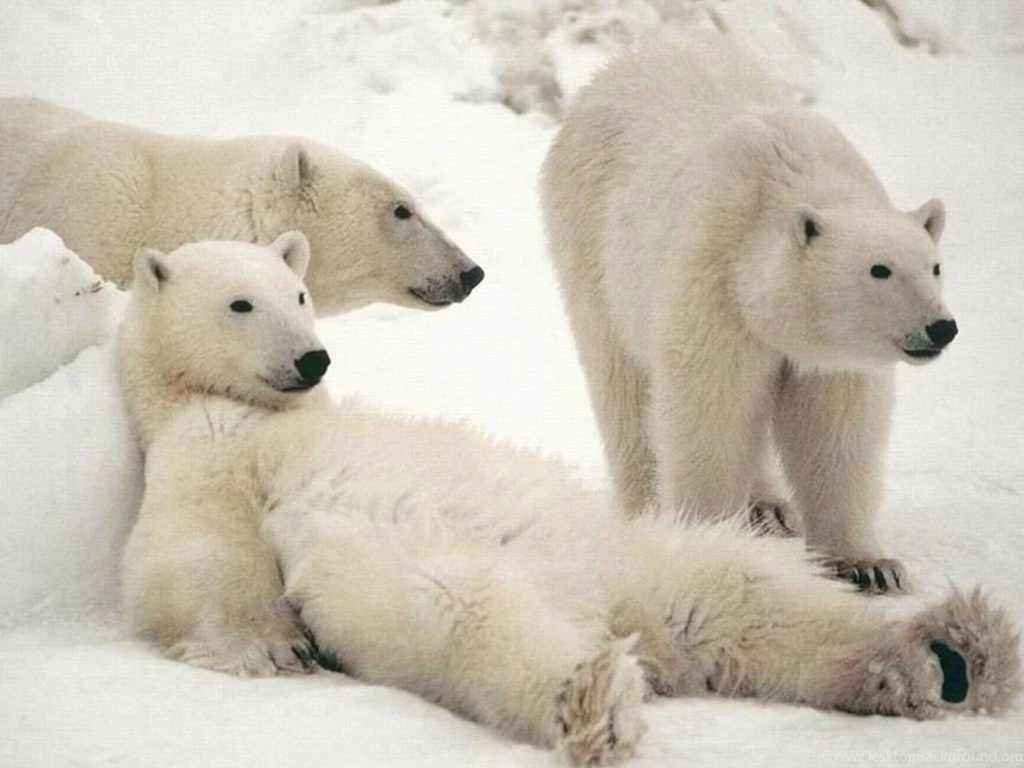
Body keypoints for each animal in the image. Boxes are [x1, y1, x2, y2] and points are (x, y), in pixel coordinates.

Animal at [118, 233, 1018, 766]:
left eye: (298, 294)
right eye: (240, 302)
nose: (312, 359)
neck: (262, 411)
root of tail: (622, 618)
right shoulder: (203, 448)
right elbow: (188, 553)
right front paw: (271, 648)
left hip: (642, 553)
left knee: (748, 593)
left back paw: (948, 654)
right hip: (444, 578)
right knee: (471, 615)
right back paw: (597, 699)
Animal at [541, 33, 958, 593]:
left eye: (934, 266)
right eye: (880, 270)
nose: (941, 327)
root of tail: (616, 67)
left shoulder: (828, 356)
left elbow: (836, 429)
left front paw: (870, 566)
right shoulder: (715, 282)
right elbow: (710, 407)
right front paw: (706, 542)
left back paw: (769, 507)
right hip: (591, 242)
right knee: (621, 383)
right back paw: (645, 506)